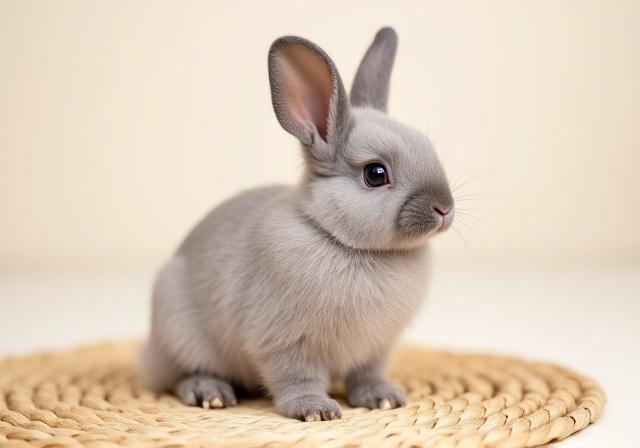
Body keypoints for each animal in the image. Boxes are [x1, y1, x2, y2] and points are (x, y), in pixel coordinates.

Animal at [140, 26, 455, 421]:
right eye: (376, 174)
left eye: (428, 147)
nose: (445, 208)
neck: (342, 240)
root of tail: (149, 352)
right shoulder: (285, 342)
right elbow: (296, 377)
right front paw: (316, 410)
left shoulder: (376, 348)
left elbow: (367, 374)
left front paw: (383, 398)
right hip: (179, 329)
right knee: (181, 376)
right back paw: (210, 393)